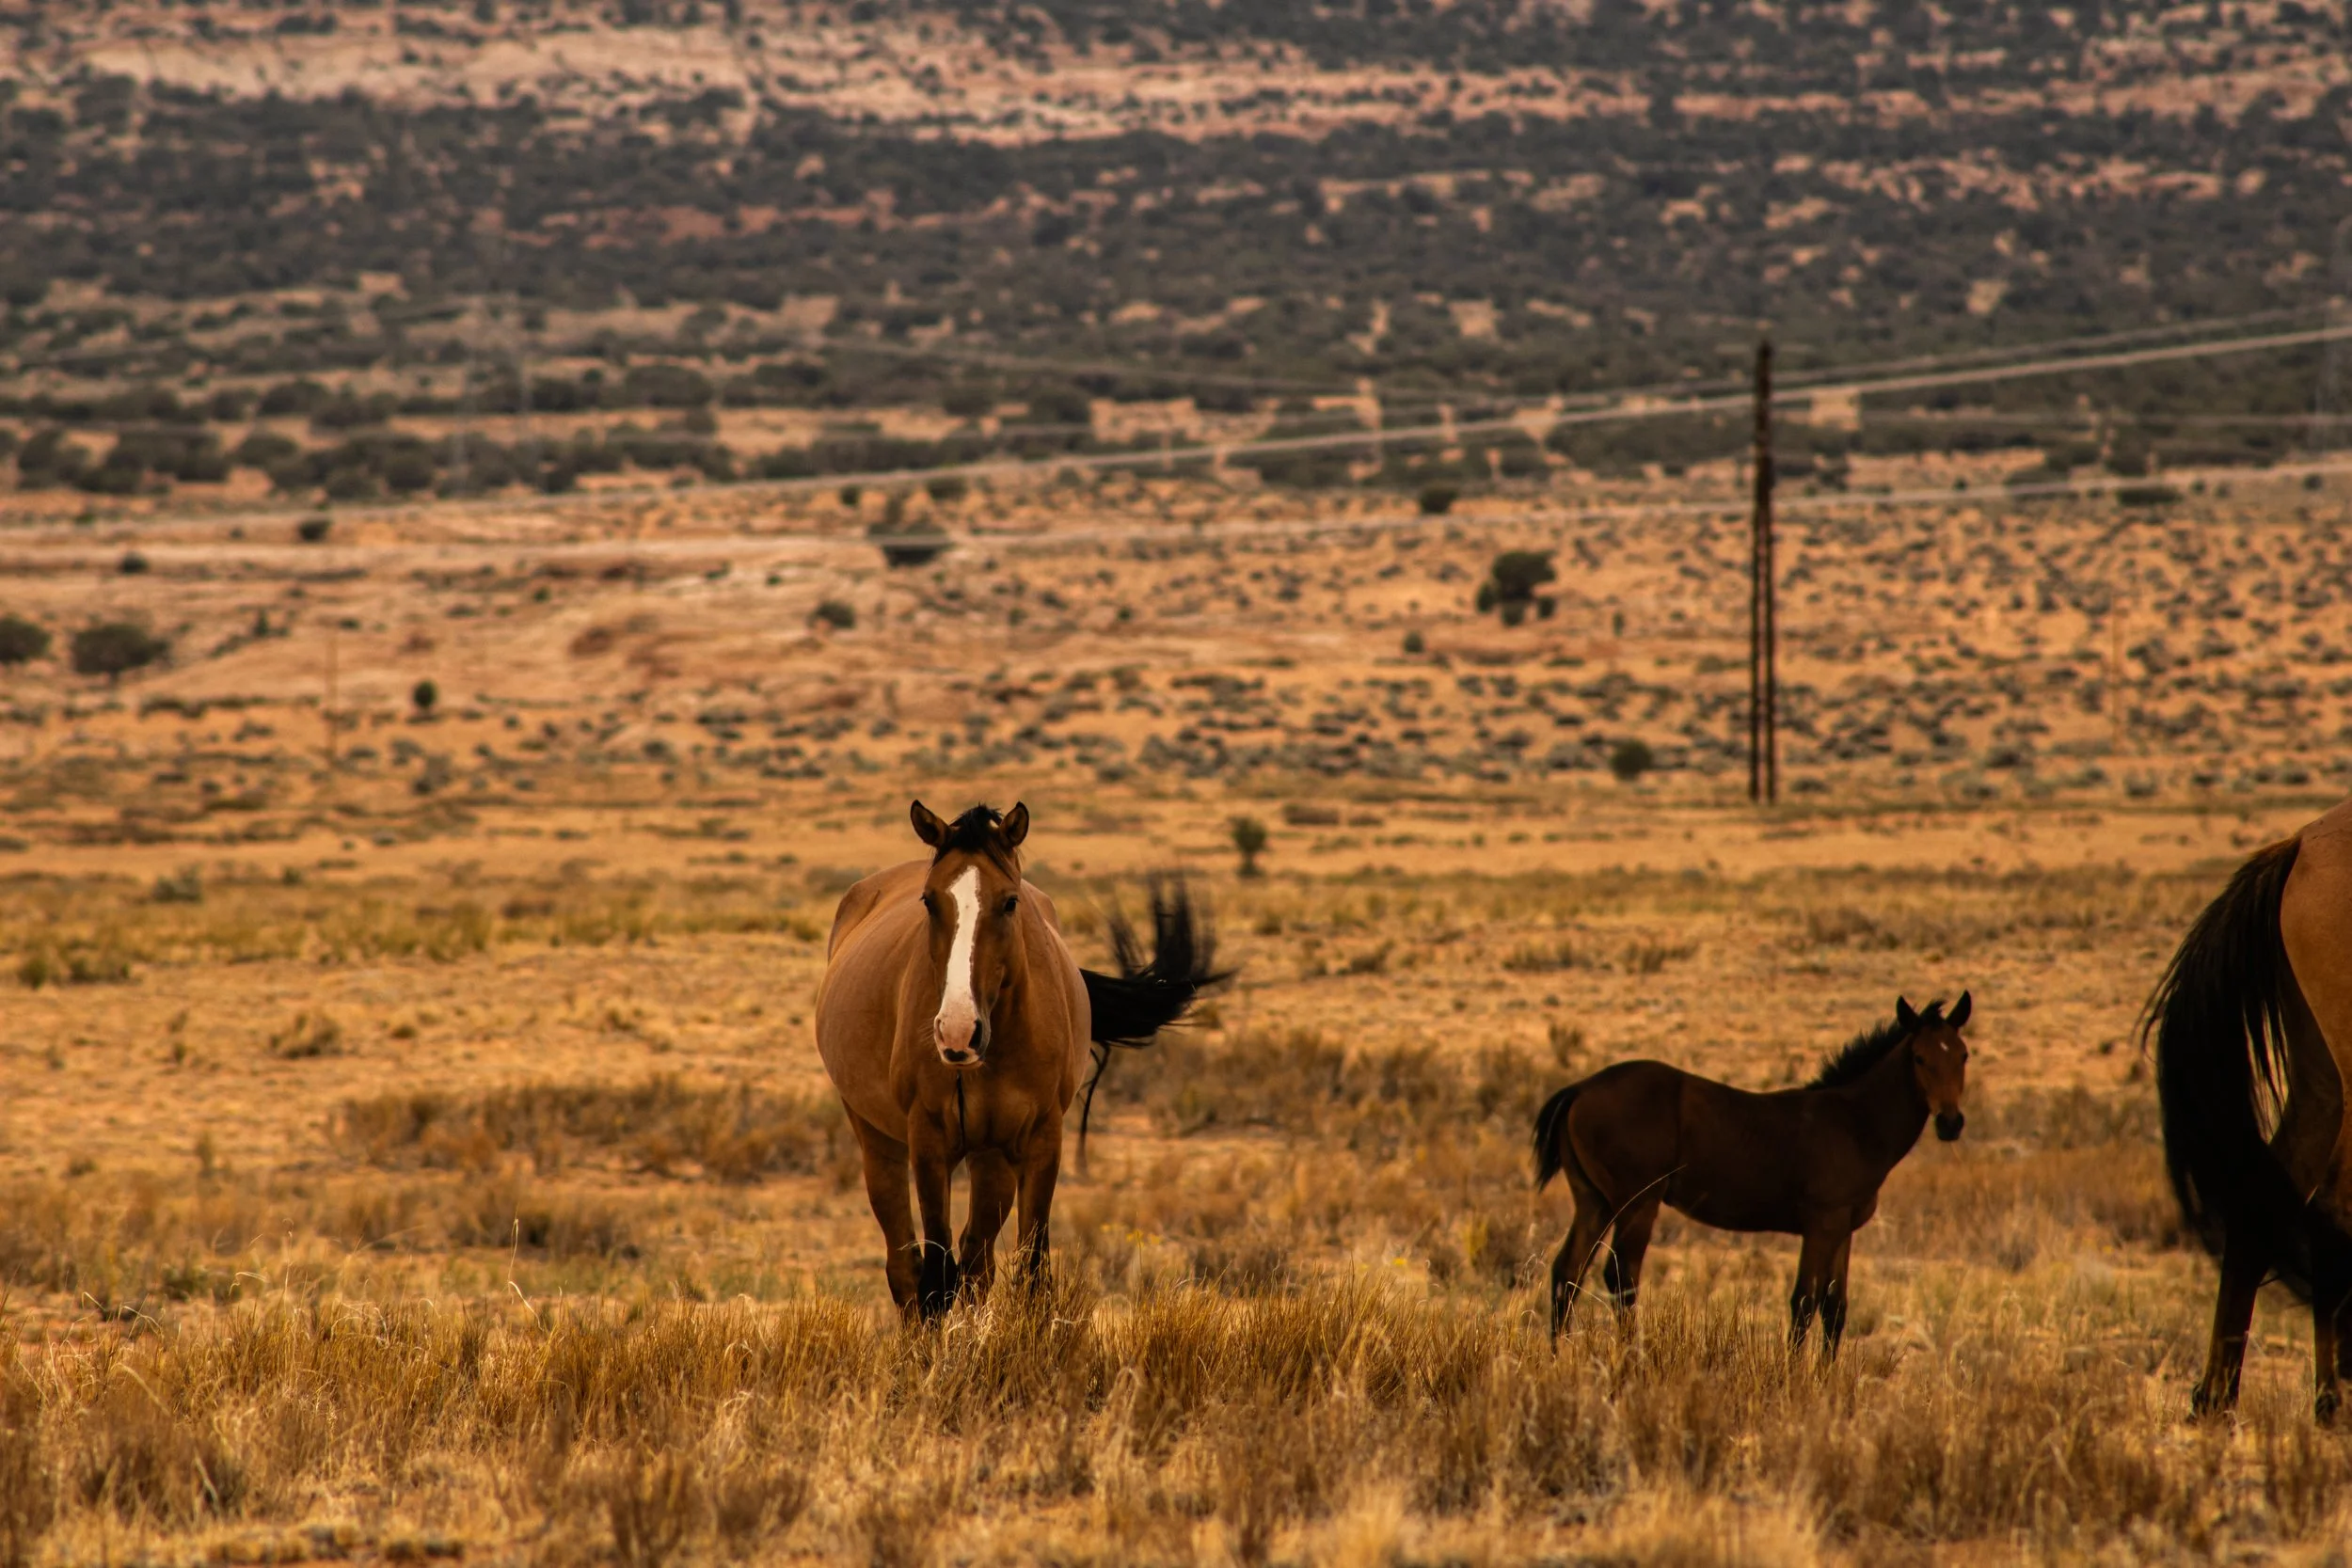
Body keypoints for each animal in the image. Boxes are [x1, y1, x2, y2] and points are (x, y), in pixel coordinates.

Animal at [815, 800, 1224, 1319]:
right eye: (928, 901)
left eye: (1010, 902)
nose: (957, 1031)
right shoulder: (928, 1141)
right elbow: (934, 1280)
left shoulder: (1041, 1140)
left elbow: (1030, 1276)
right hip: (879, 1142)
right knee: (907, 1267)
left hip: (991, 1159)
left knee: (976, 1262)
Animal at [1533, 994, 1971, 1353]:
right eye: (1919, 1057)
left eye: (1963, 1055)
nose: (1950, 1123)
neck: (1855, 1123)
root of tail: (1580, 1089)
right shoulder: (1820, 1225)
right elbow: (1804, 1303)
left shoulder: (1842, 1229)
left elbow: (1835, 1309)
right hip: (1637, 1204)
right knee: (1621, 1280)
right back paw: (1630, 1360)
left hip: (1595, 1202)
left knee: (1567, 1274)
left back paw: (1558, 1359)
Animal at [2150, 806, 2352, 1423]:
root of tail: (2301, 843)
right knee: (2332, 1208)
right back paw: (2332, 1403)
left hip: (2321, 1081)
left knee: (2259, 1206)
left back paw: (2216, 1399)